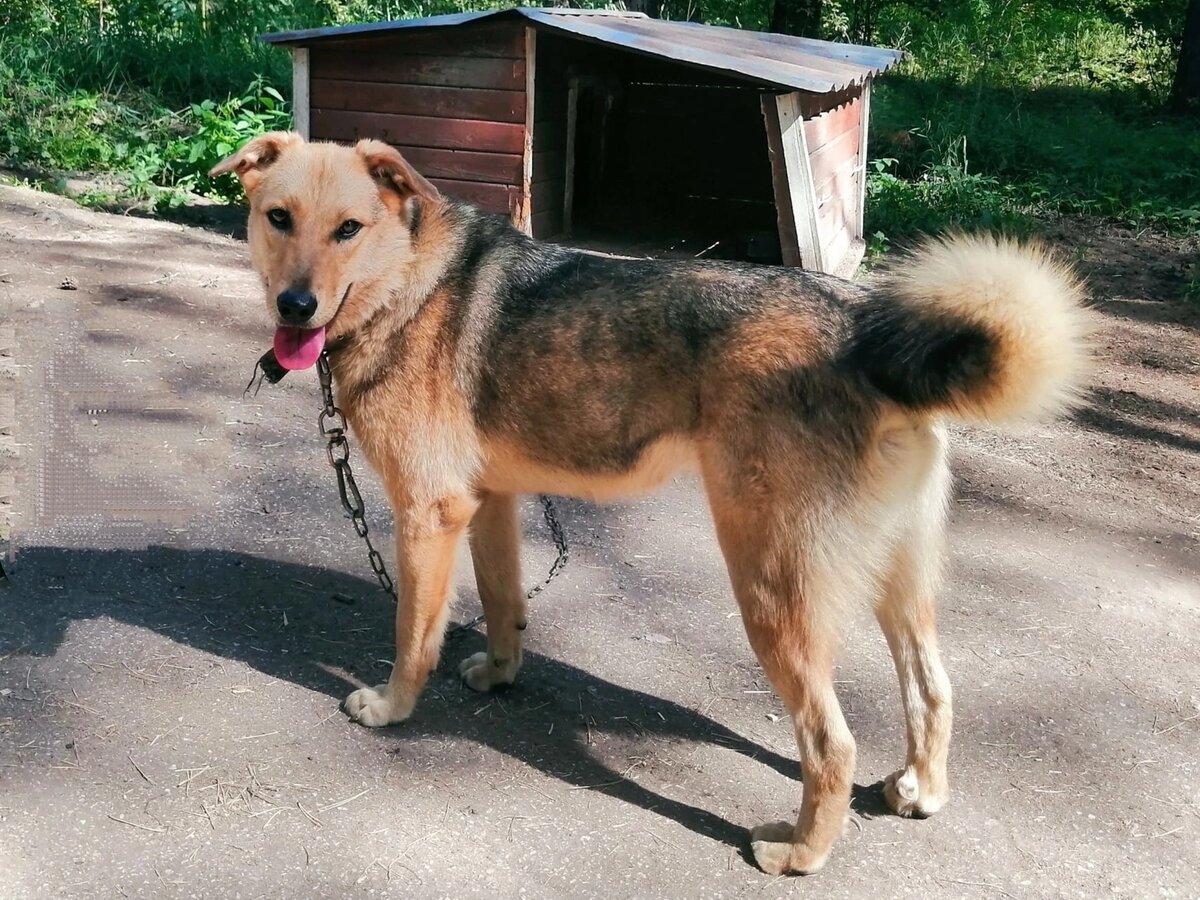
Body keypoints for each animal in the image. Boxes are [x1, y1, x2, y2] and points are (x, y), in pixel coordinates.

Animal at [211, 132, 1094, 873]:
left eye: (348, 230)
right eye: (279, 219)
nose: (295, 307)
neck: (408, 282)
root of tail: (869, 335)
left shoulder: (429, 516)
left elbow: (411, 637)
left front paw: (393, 709)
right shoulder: (487, 505)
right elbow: (502, 605)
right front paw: (499, 675)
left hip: (772, 590)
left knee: (831, 744)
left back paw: (799, 854)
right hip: (897, 585)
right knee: (934, 690)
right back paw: (921, 788)